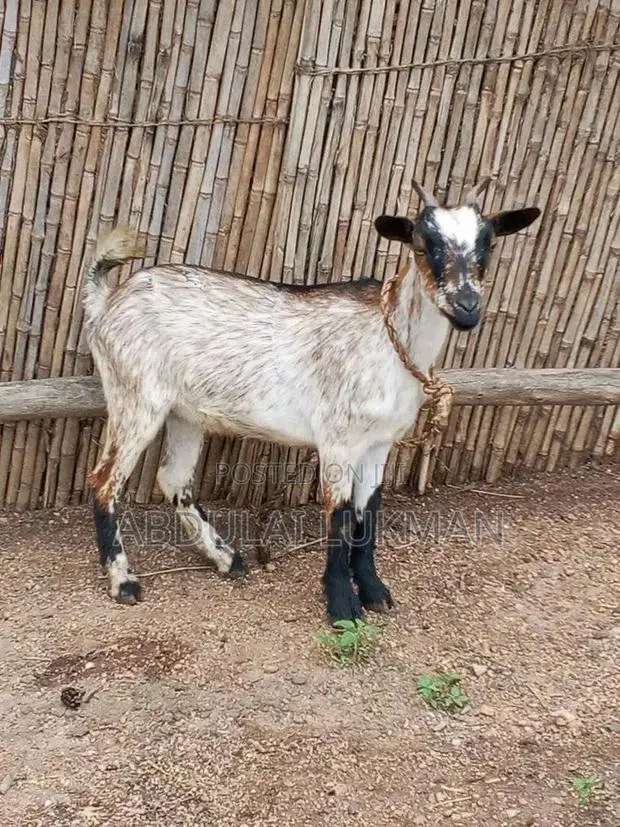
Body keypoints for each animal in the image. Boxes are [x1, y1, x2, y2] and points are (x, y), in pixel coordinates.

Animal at [83, 181, 540, 622]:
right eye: (422, 245)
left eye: (488, 244)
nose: (467, 308)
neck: (388, 339)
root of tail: (107, 301)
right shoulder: (338, 438)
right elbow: (339, 515)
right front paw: (342, 607)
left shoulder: (379, 443)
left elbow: (368, 512)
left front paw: (374, 592)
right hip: (135, 396)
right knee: (105, 479)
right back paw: (123, 581)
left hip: (186, 412)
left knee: (173, 479)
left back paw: (227, 559)